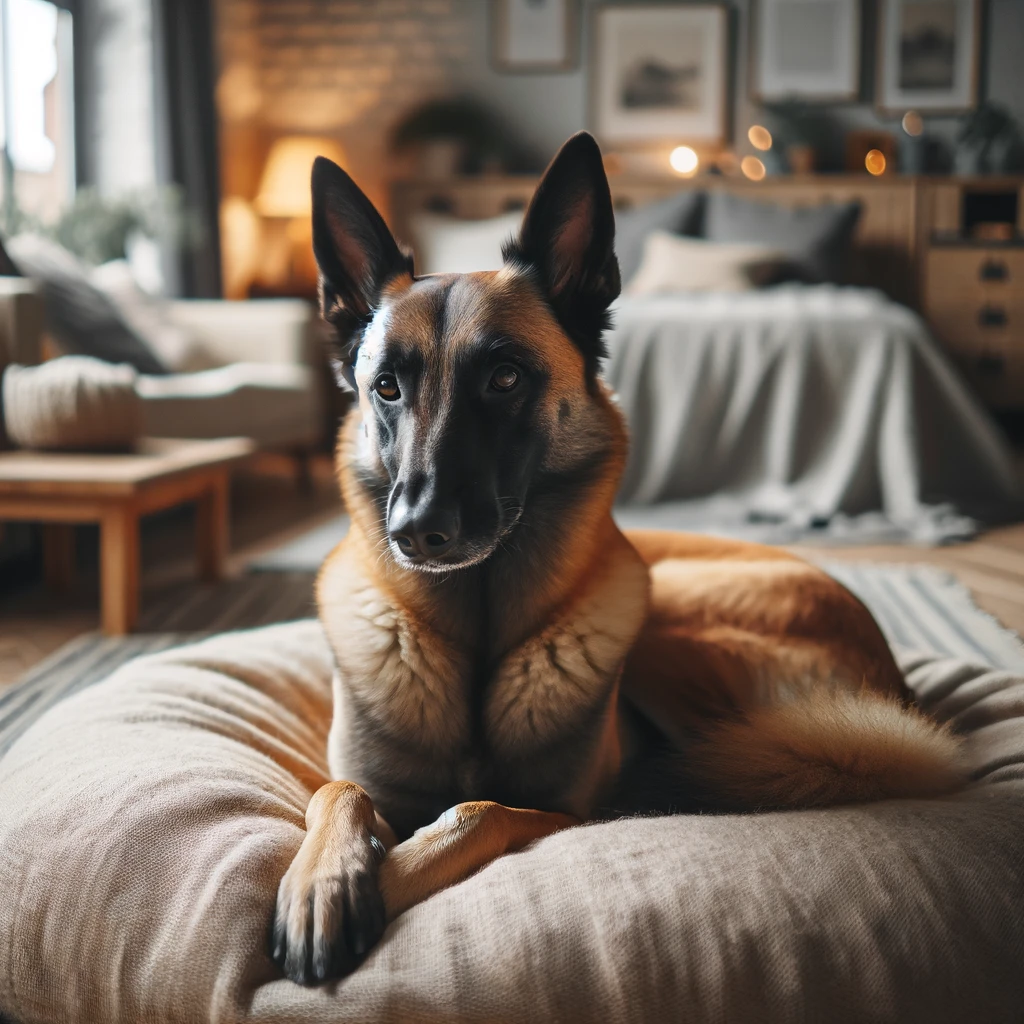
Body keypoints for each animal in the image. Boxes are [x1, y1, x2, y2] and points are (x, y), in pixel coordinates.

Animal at [268, 130, 962, 983]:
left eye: (504, 378)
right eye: (387, 388)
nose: (415, 531)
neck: (479, 635)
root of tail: (895, 686)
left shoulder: (566, 811)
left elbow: (476, 810)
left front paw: (384, 874)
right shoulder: (358, 777)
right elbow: (337, 792)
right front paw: (322, 881)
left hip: (674, 634)